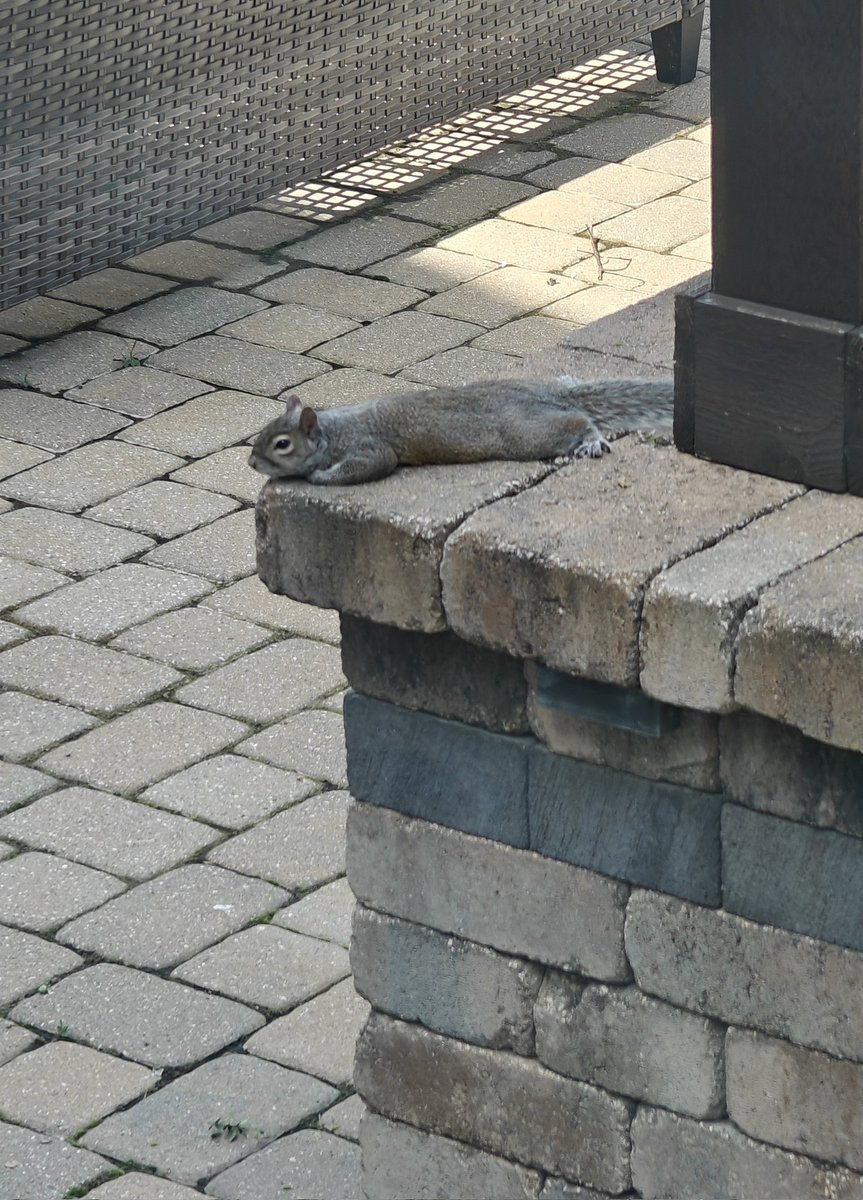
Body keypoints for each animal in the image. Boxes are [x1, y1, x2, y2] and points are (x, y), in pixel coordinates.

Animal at [248, 375, 673, 485]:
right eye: (263, 430)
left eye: (282, 444)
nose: (251, 463)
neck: (333, 431)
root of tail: (542, 393)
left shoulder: (369, 447)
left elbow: (371, 465)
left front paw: (319, 477)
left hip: (527, 433)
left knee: (577, 422)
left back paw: (591, 439)